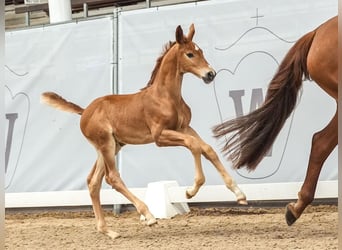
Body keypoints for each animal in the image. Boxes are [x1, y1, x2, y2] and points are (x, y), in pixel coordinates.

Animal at [41, 24, 247, 239]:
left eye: (201, 52)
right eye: (190, 54)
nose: (210, 74)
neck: (165, 96)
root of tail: (85, 111)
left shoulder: (184, 128)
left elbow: (207, 149)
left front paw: (239, 194)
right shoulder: (160, 136)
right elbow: (194, 146)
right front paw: (191, 191)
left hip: (111, 146)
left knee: (93, 181)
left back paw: (108, 231)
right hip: (106, 144)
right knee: (112, 177)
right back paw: (148, 216)